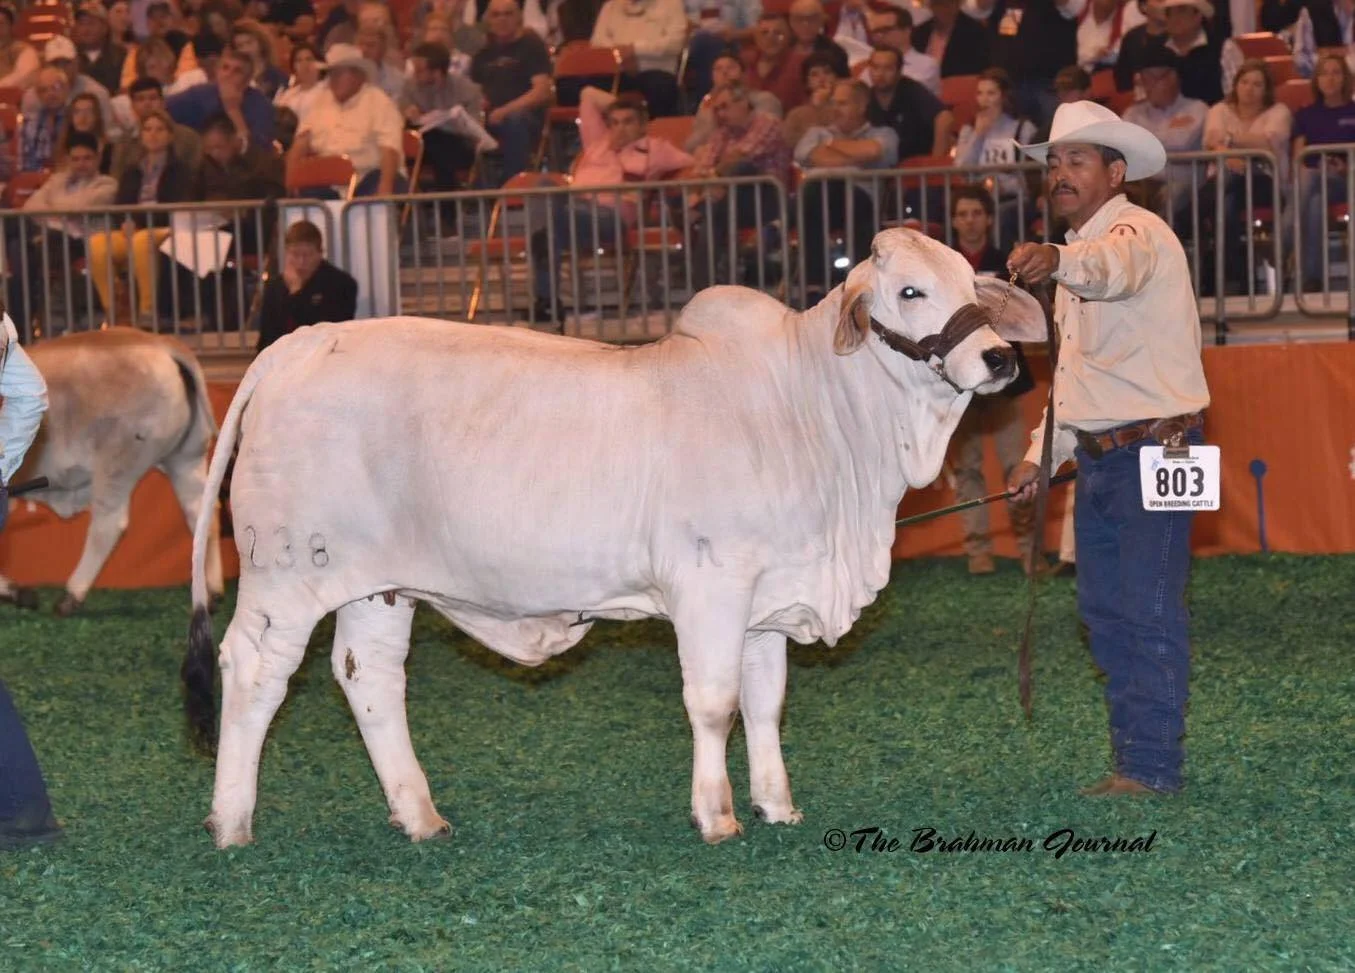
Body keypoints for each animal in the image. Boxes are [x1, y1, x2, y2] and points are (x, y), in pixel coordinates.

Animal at [1, 328, 225, 615]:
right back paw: (212, 593)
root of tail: (161, 343)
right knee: (201, 512)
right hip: (186, 459)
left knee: (108, 524)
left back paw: (70, 596)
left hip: (117, 462)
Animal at [182, 229, 1047, 849]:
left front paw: (777, 804)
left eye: (971, 284)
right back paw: (231, 821)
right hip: (286, 572)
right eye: (909, 289)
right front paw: (716, 814)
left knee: (369, 676)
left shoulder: (768, 599)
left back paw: (420, 816)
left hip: (377, 585)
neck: (814, 412)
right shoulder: (710, 587)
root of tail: (299, 340)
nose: (998, 358)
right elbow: (713, 702)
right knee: (253, 671)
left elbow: (764, 702)